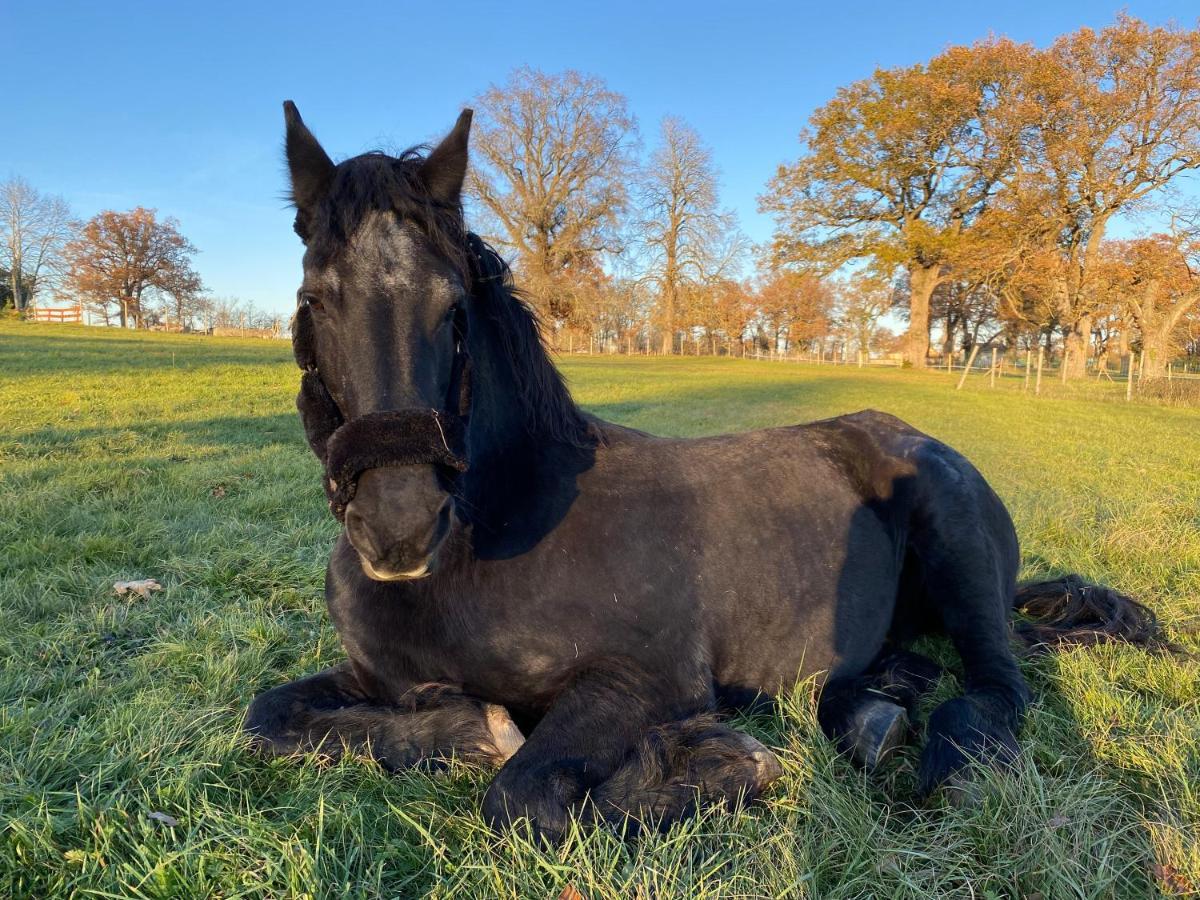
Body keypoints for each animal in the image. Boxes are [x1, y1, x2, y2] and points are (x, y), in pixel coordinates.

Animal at [246, 105, 1161, 844]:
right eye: (313, 300)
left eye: (452, 307)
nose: (398, 526)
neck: (493, 540)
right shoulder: (373, 680)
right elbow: (266, 716)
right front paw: (464, 728)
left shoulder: (640, 681)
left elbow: (524, 795)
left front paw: (719, 762)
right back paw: (870, 708)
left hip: (958, 547)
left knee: (999, 685)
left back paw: (946, 755)